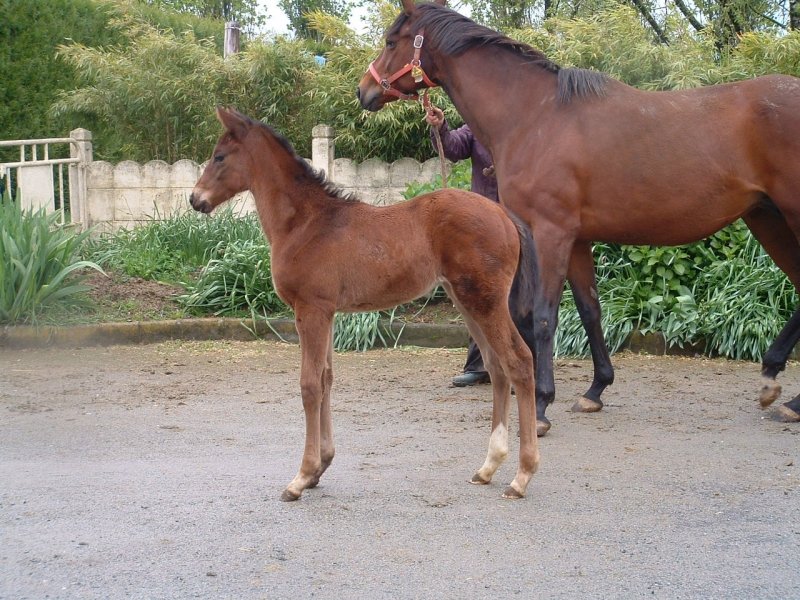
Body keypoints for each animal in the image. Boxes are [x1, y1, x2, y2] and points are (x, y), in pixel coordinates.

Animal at [189, 107, 541, 501]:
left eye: (220, 156)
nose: (195, 199)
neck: (306, 223)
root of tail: (504, 214)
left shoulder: (310, 310)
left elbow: (309, 385)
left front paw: (301, 477)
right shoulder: (326, 312)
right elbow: (326, 379)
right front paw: (320, 468)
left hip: (485, 301)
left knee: (519, 361)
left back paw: (522, 475)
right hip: (466, 301)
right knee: (497, 368)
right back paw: (488, 466)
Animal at [357, 0, 800, 433]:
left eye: (391, 40)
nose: (364, 91)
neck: (536, 115)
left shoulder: (550, 234)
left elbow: (541, 314)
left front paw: (541, 405)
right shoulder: (577, 239)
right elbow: (590, 311)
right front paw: (595, 390)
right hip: (768, 220)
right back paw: (774, 383)